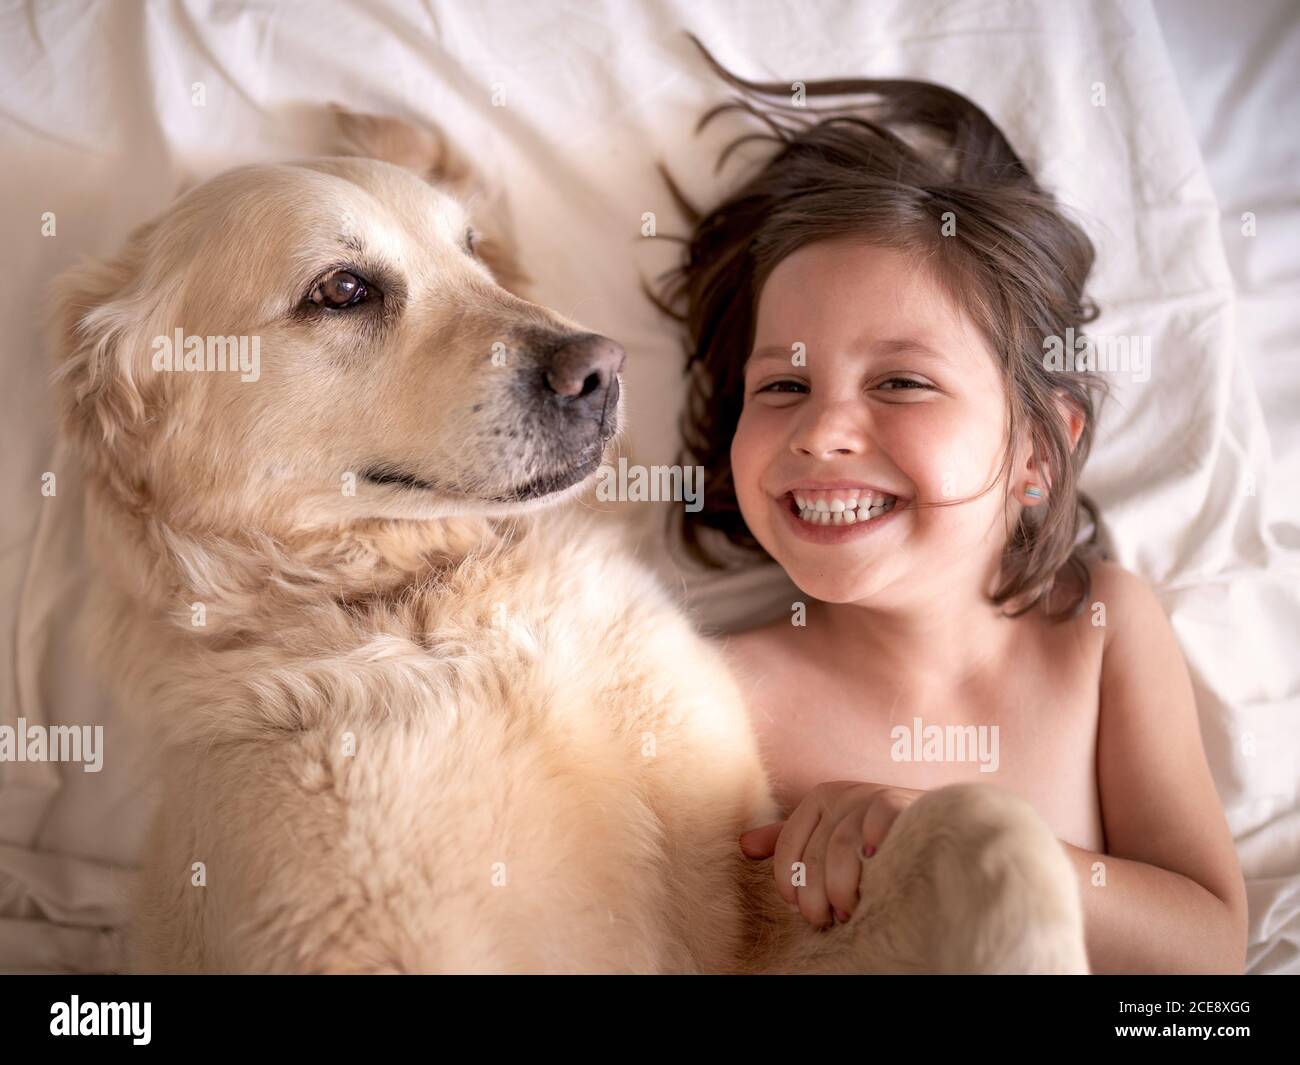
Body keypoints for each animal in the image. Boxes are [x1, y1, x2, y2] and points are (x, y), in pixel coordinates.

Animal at [48, 110, 1086, 972]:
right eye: (340, 289)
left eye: (473, 252)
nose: (601, 368)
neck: (434, 600)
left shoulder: (751, 892)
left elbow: (990, 821)